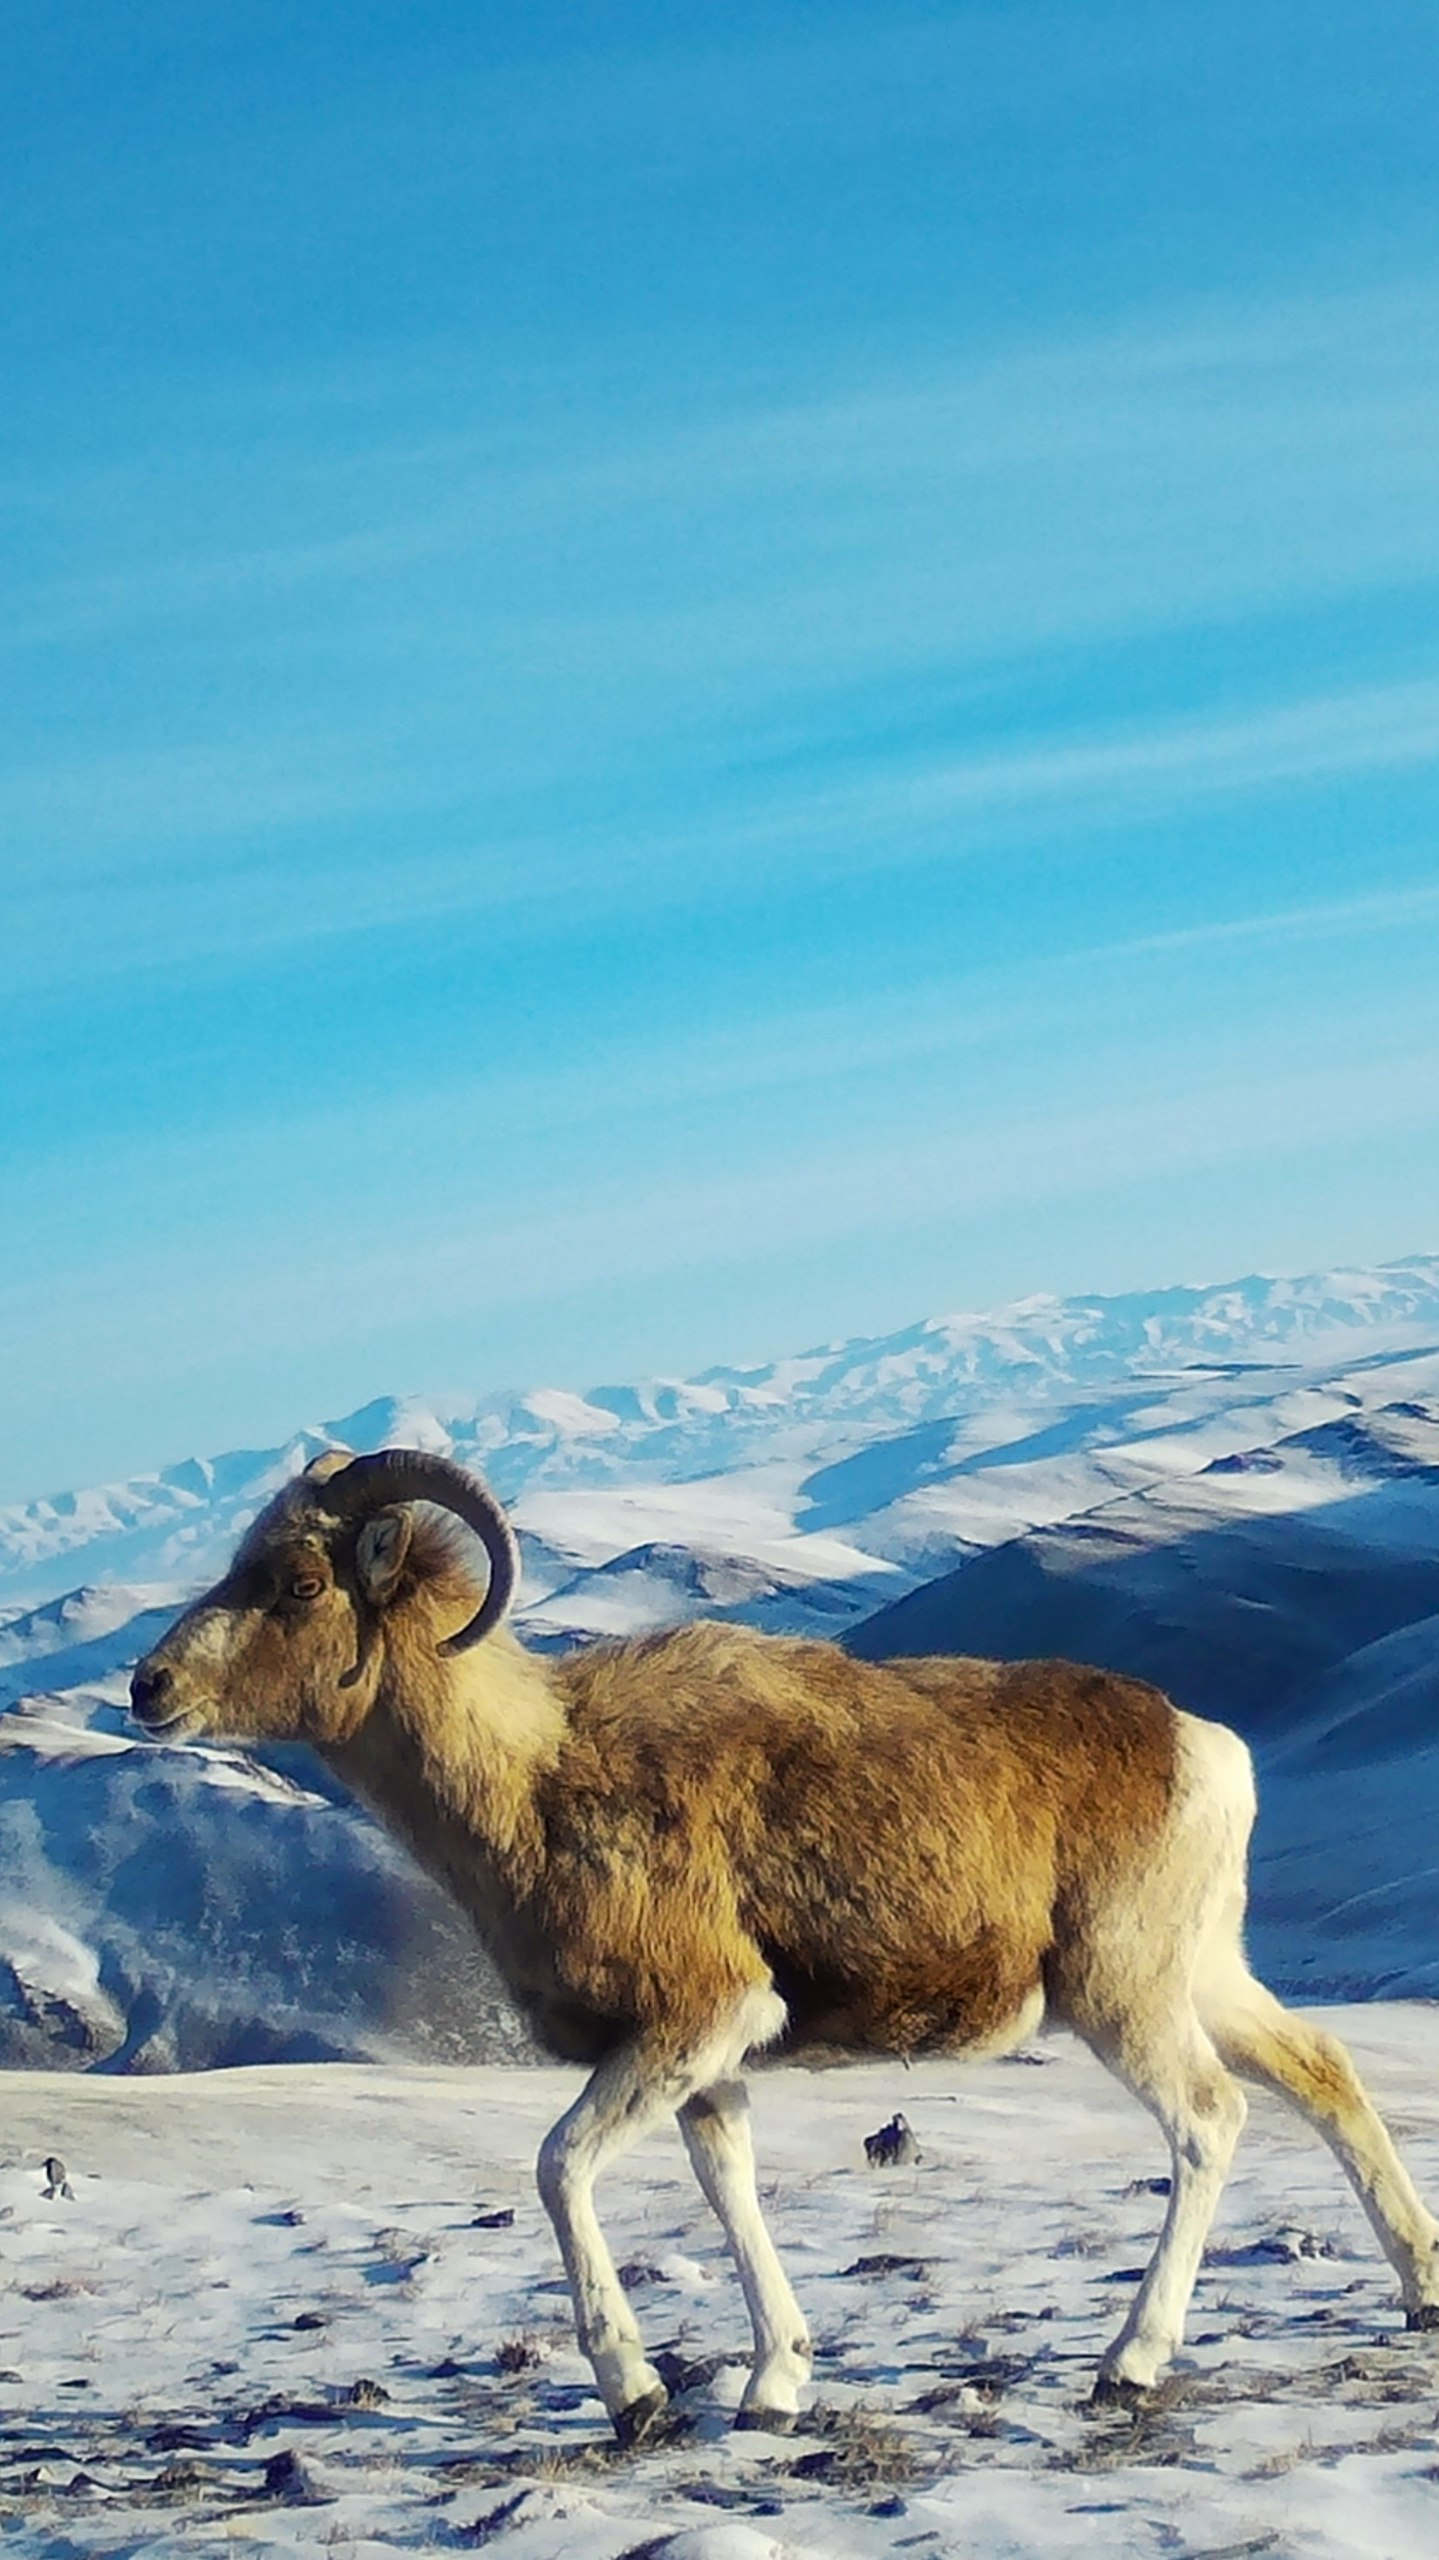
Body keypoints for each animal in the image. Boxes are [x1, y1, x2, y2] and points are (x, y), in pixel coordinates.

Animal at [126, 1454, 1433, 2426]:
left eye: (299, 1583)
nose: (148, 1688)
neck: (539, 1782)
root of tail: (1202, 1749)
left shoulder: (697, 2018)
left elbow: (559, 2165)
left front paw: (637, 2393)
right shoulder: (706, 2070)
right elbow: (727, 2186)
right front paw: (771, 2386)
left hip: (1124, 1998)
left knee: (1209, 2120)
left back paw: (1128, 2363)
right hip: (1202, 1977)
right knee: (1319, 2073)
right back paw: (1417, 2291)